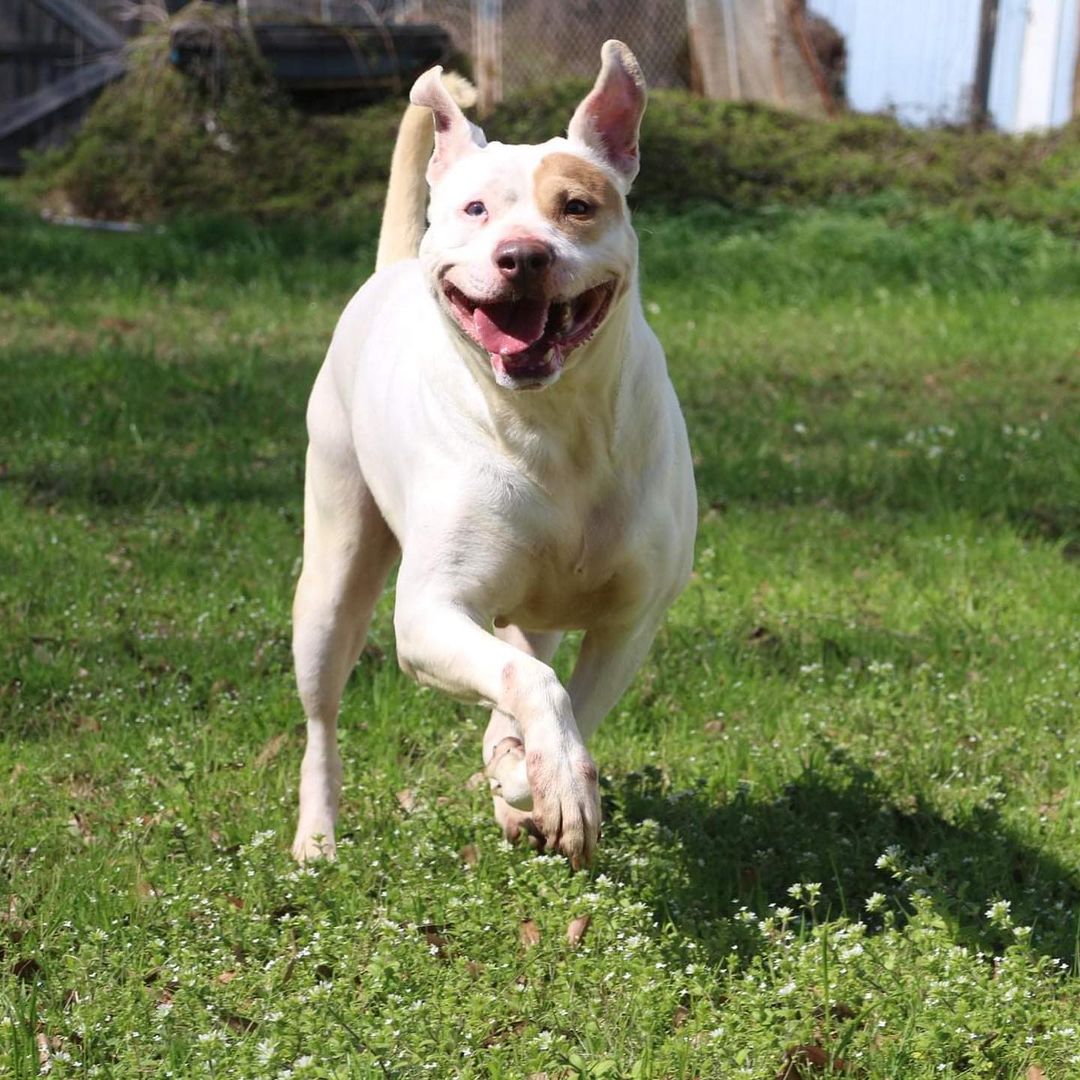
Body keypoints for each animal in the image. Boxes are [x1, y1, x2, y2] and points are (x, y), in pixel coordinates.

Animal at [293, 42, 699, 868]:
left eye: (577, 205)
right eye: (477, 209)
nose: (523, 256)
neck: (555, 425)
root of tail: (385, 271)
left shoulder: (631, 622)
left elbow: (567, 700)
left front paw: (526, 779)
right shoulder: (429, 616)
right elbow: (531, 683)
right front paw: (539, 781)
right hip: (331, 576)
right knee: (323, 709)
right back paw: (316, 837)